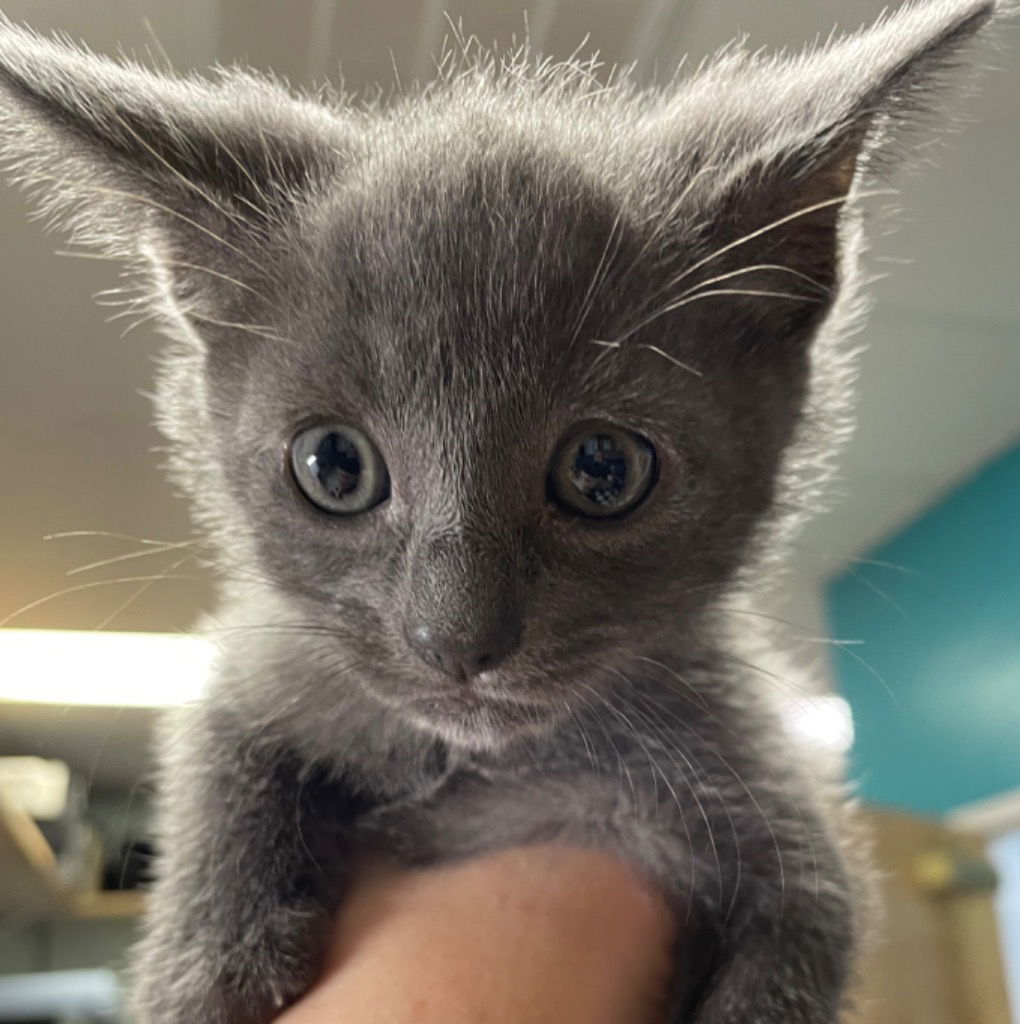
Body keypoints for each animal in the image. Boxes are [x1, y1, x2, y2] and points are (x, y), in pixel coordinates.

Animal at [0, 2, 1003, 1024]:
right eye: (334, 465)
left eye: (603, 469)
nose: (455, 641)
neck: (487, 764)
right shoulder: (273, 666)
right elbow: (220, 749)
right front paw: (205, 962)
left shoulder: (774, 802)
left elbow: (807, 932)